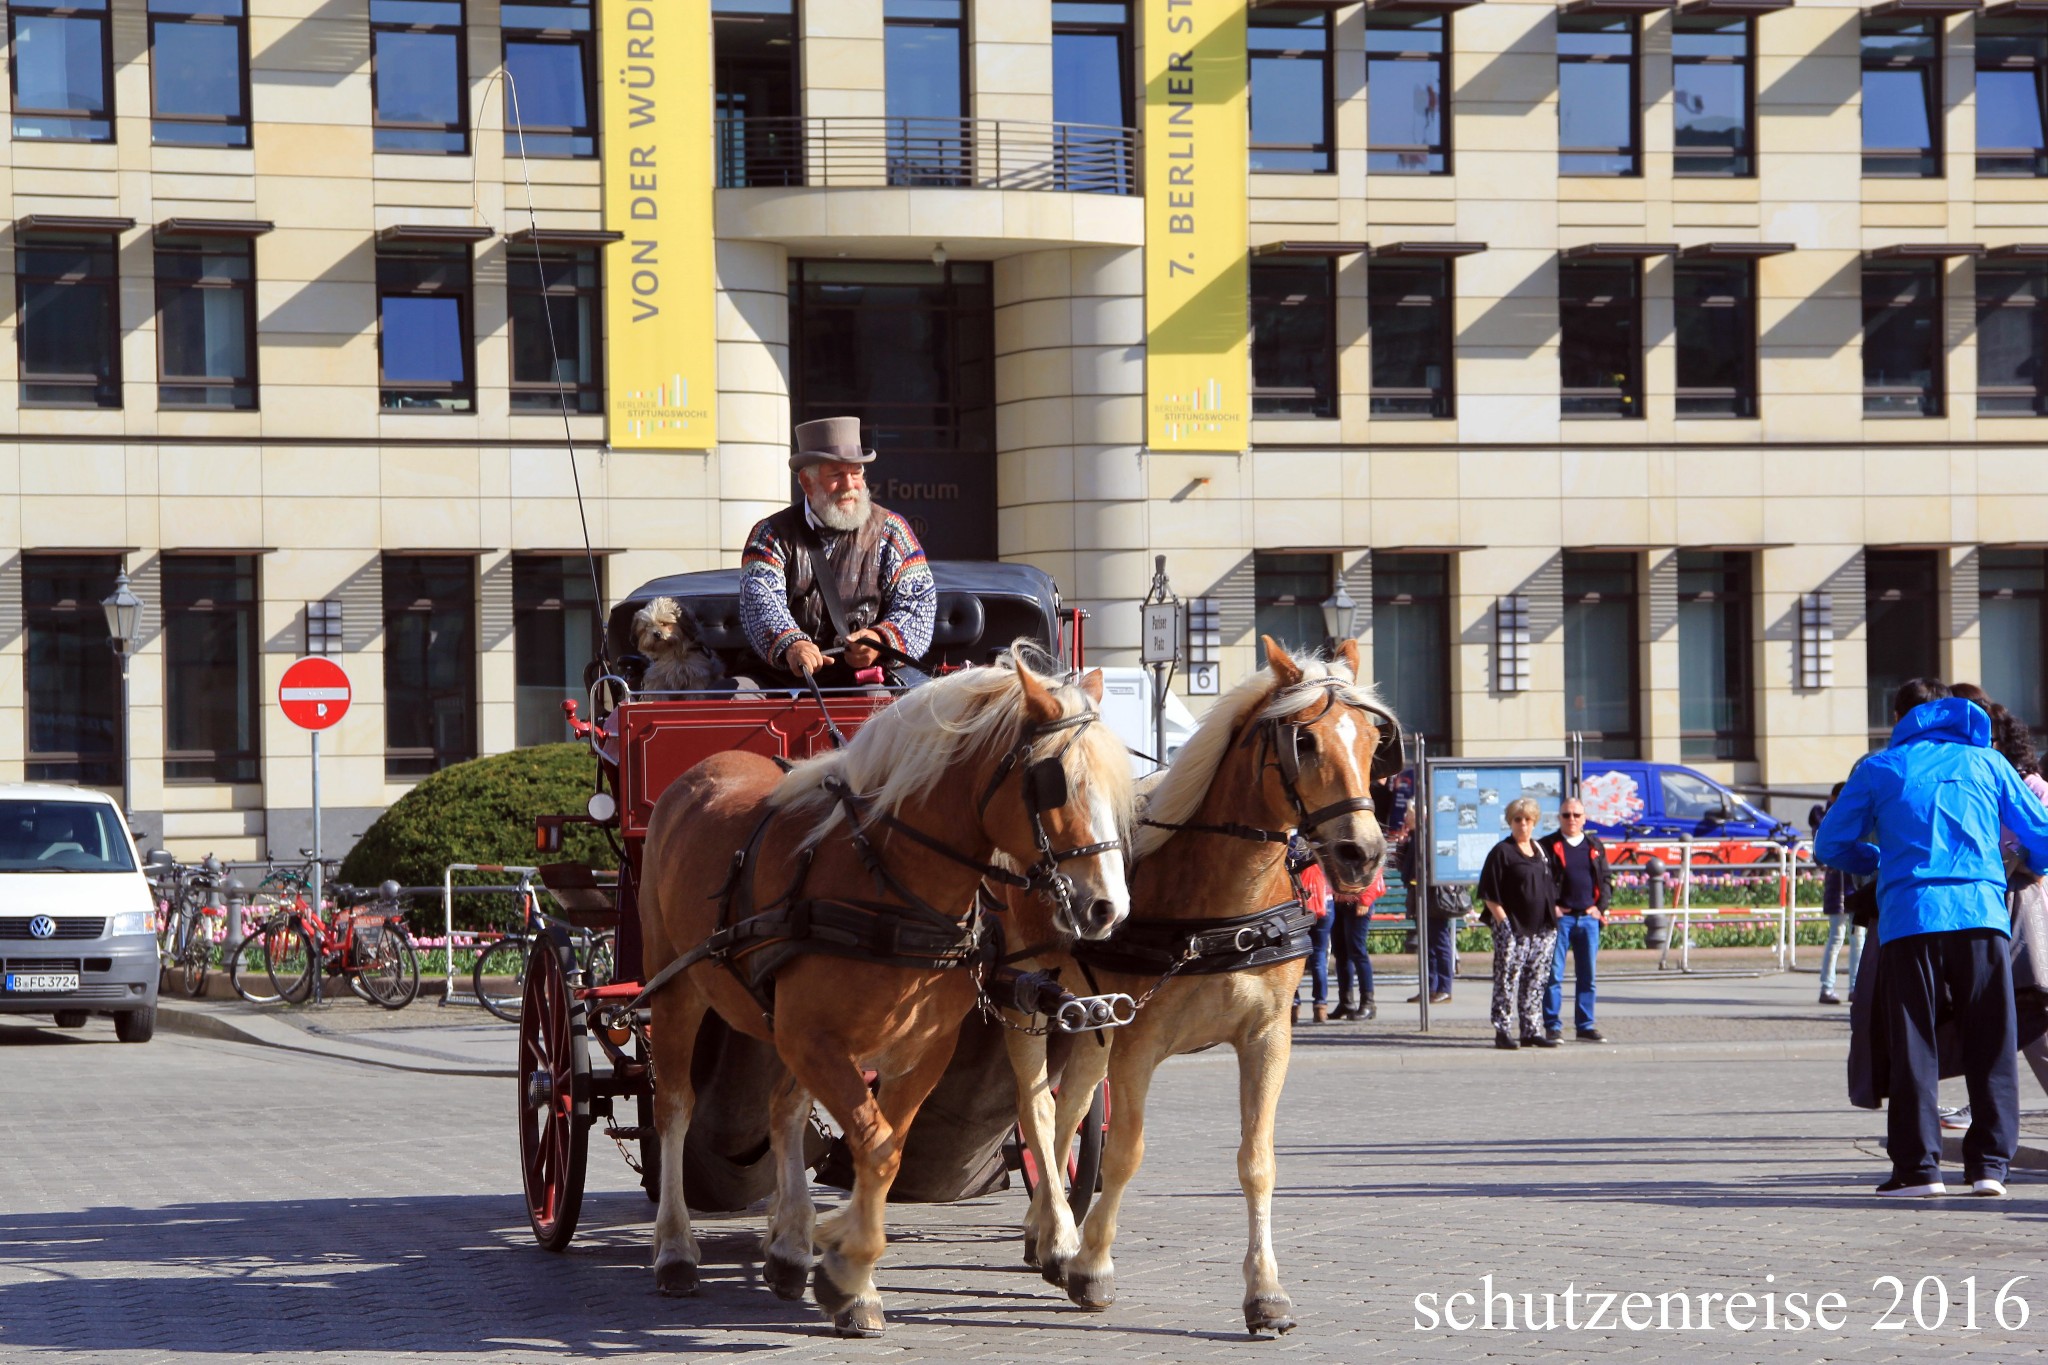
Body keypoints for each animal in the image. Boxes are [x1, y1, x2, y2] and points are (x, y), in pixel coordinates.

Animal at [634, 650, 1138, 1334]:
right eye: (1052, 783)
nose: (1108, 908)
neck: (888, 885)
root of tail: (701, 771)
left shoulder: (918, 1050)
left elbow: (887, 1149)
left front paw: (844, 1265)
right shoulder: (814, 1038)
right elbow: (872, 1147)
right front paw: (849, 1274)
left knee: (782, 1111)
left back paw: (789, 1246)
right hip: (677, 988)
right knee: (675, 1109)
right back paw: (676, 1251)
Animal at [1003, 638, 1392, 1334]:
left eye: (1374, 739)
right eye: (1304, 740)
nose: (1363, 855)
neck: (1222, 904)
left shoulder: (1267, 1039)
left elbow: (1257, 1162)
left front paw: (1266, 1291)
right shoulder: (1139, 1042)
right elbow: (1125, 1153)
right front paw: (1094, 1266)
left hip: (1092, 1020)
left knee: (1069, 1107)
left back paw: (1048, 1232)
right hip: (1026, 1002)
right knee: (1039, 1111)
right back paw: (1063, 1234)